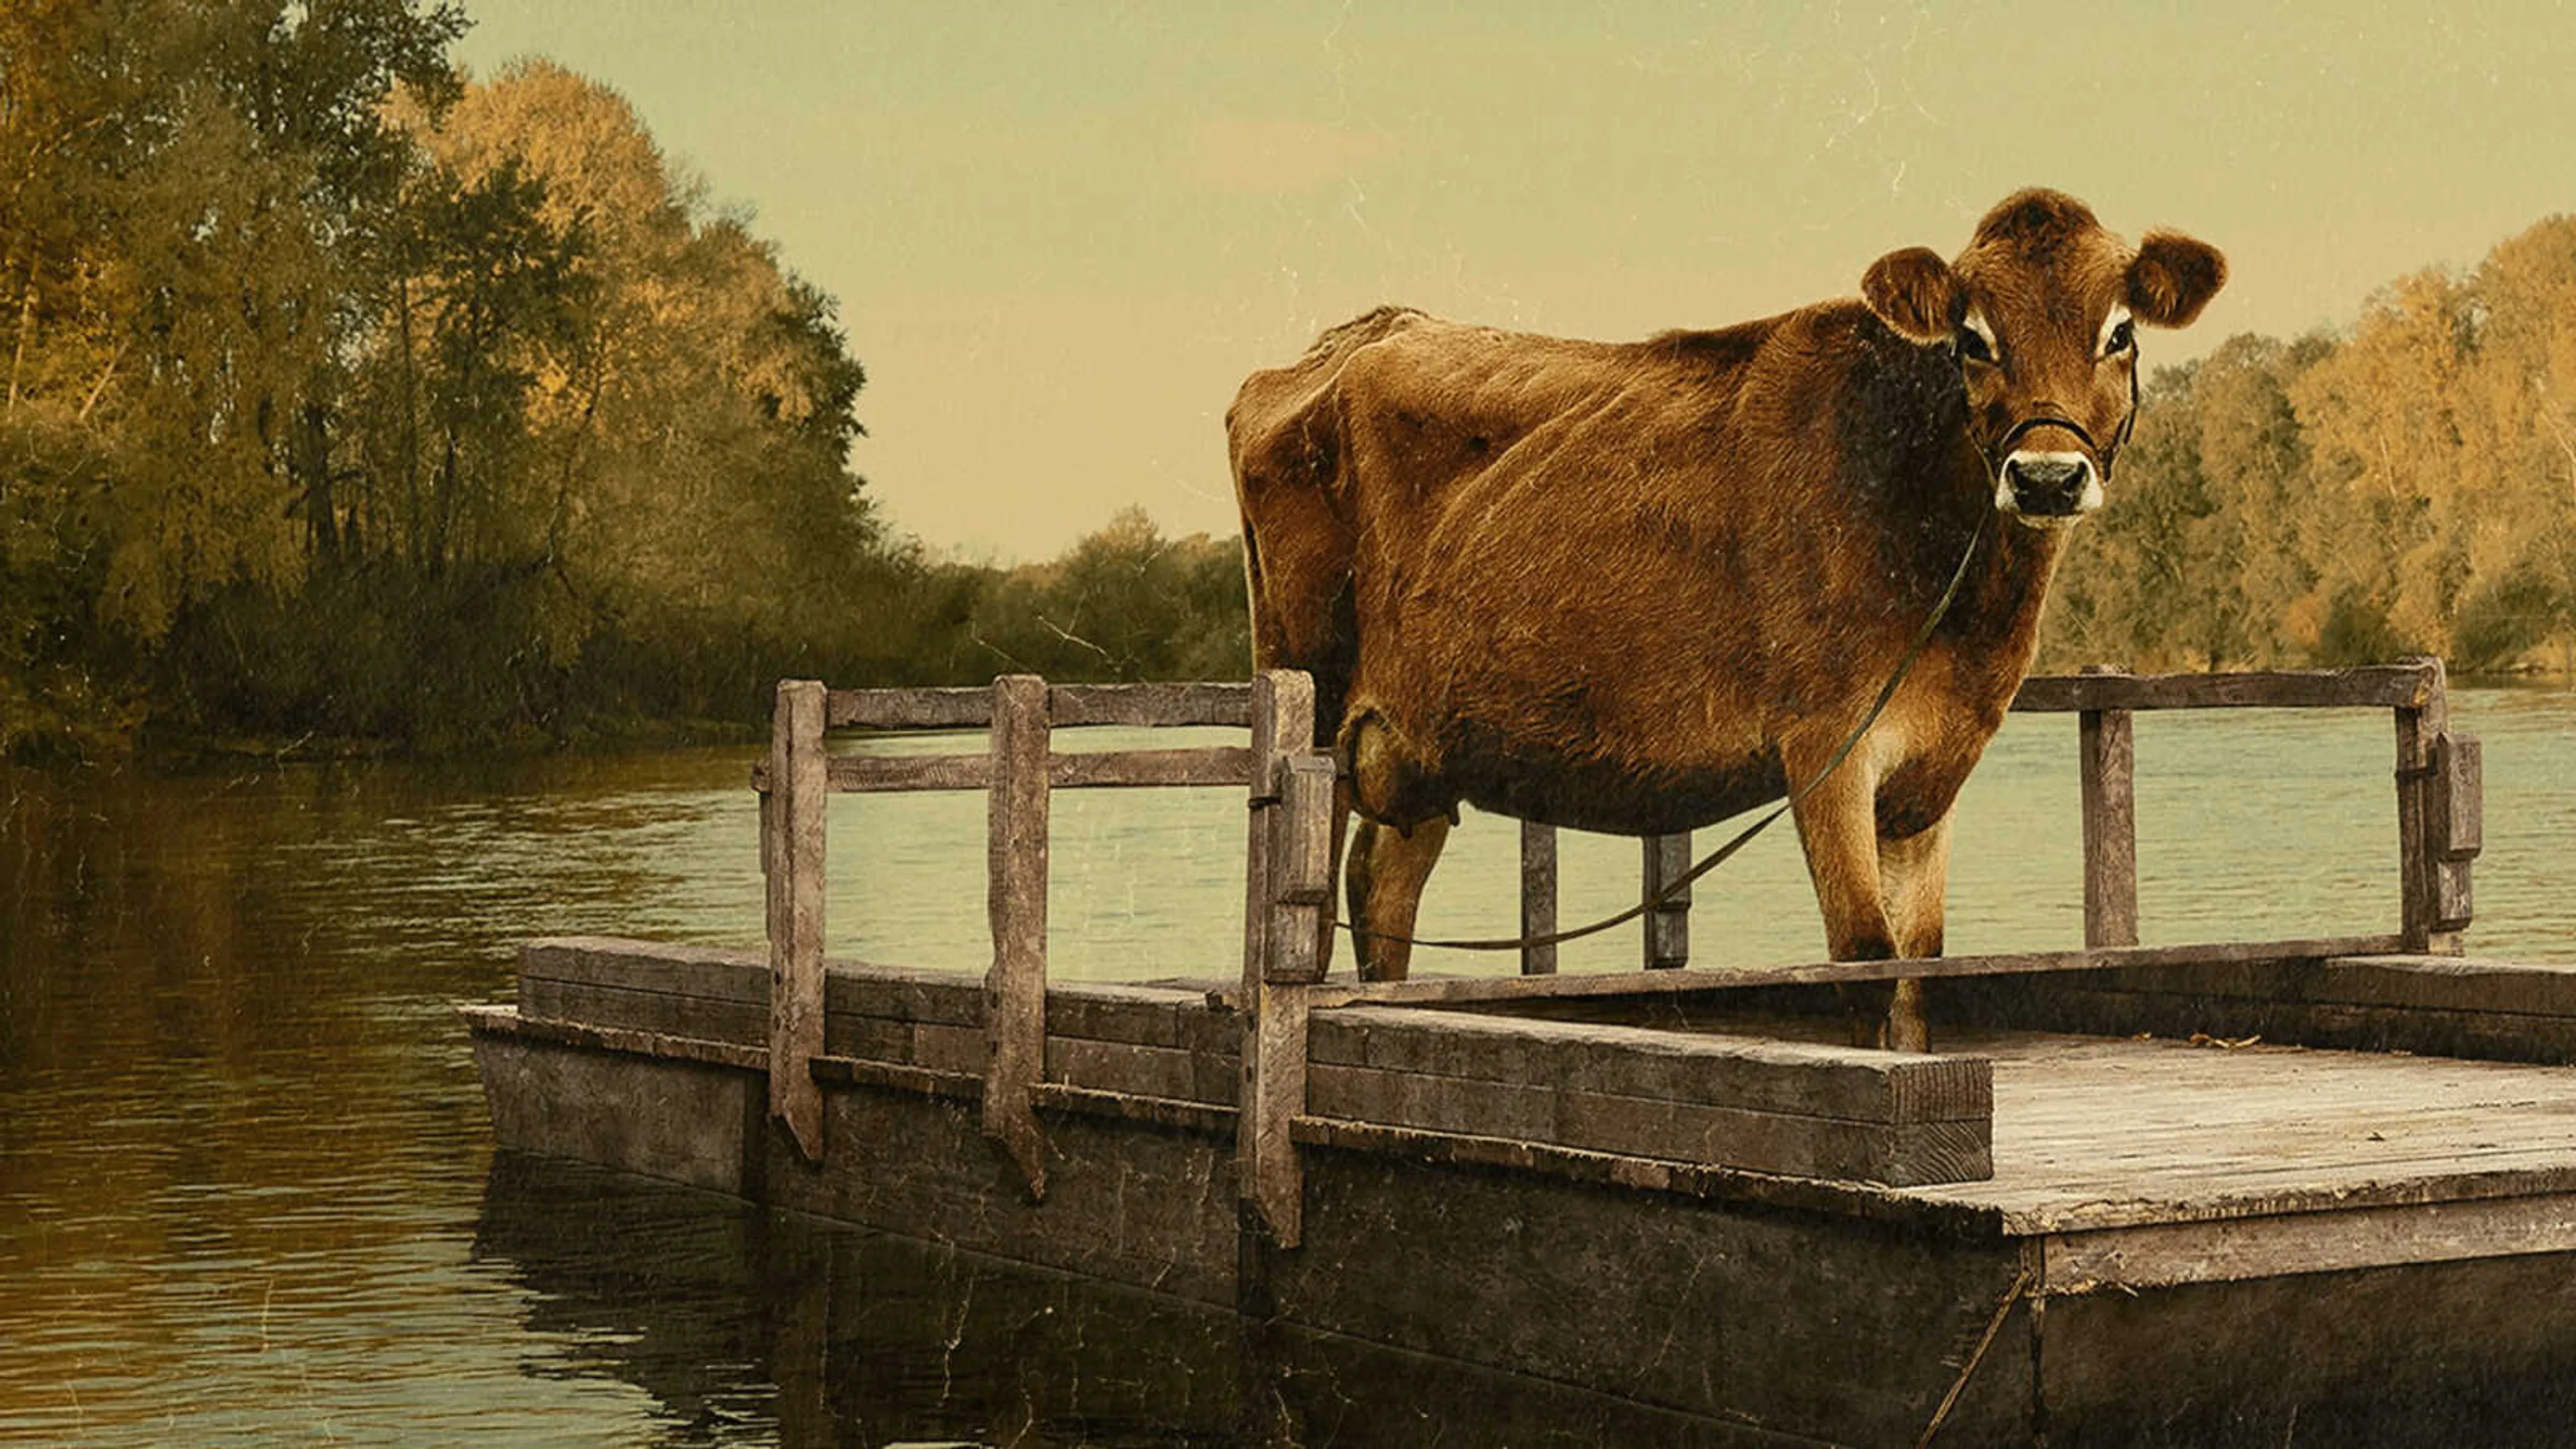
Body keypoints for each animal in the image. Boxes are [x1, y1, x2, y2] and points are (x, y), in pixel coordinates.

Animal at [1225, 189, 2225, 1049]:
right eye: (1972, 339)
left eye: (2120, 333)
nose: (2047, 477)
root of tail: (1358, 336)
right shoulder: (1828, 745)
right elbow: (1863, 958)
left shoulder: (1932, 771)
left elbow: (1919, 970)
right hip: (1314, 699)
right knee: (1309, 916)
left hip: (1422, 742)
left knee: (1382, 890)